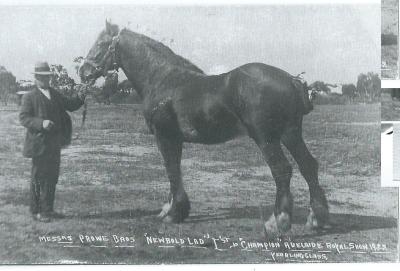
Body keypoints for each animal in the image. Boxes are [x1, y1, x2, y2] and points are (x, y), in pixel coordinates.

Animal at [79, 21, 328, 236]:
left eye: (102, 44)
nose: (83, 71)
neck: (162, 79)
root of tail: (291, 80)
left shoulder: (164, 135)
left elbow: (171, 169)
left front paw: (173, 214)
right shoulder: (174, 138)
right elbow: (175, 169)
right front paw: (171, 209)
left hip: (266, 137)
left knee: (282, 170)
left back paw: (278, 222)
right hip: (290, 134)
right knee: (308, 166)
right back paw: (316, 219)